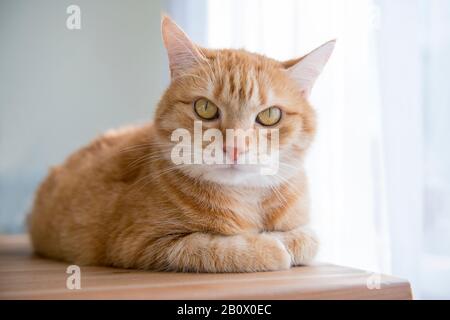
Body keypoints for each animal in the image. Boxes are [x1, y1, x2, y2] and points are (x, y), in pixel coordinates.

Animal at [29, 16, 334, 272]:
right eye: (205, 108)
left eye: (270, 115)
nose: (235, 146)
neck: (245, 200)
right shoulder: (142, 244)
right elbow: (215, 248)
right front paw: (269, 248)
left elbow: (309, 238)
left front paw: (286, 241)